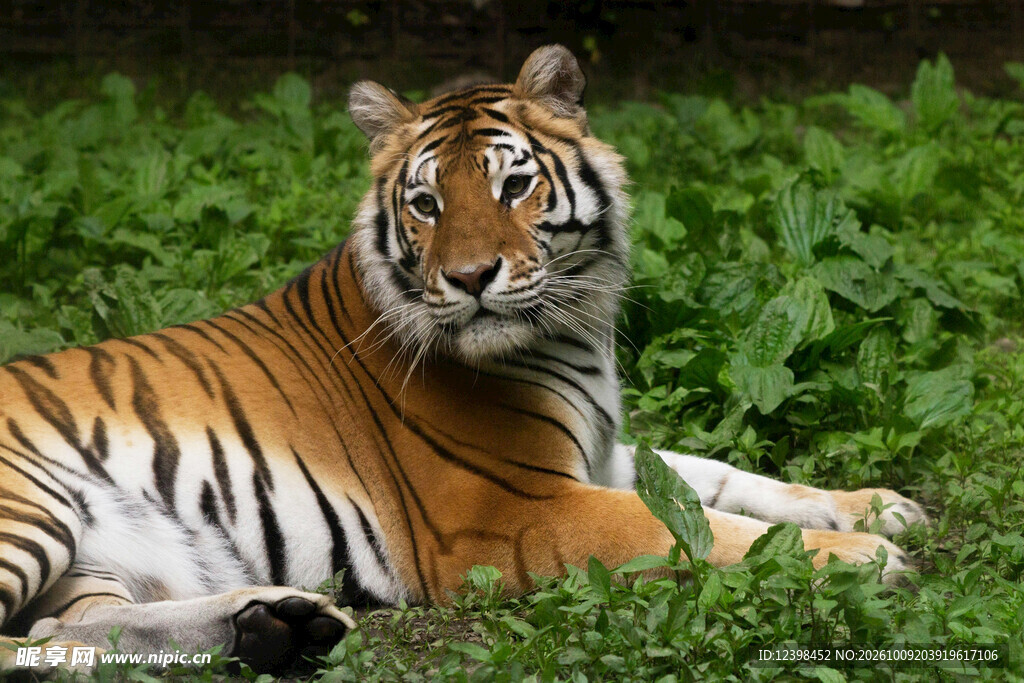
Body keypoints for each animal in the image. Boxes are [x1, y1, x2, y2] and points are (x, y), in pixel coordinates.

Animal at [0, 45, 927, 675]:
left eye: (514, 186)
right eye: (425, 203)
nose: (472, 276)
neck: (571, 326)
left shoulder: (600, 454)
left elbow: (727, 479)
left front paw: (880, 509)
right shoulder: (519, 506)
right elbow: (693, 526)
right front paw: (863, 559)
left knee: (55, 628)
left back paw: (276, 625)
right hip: (30, 508)